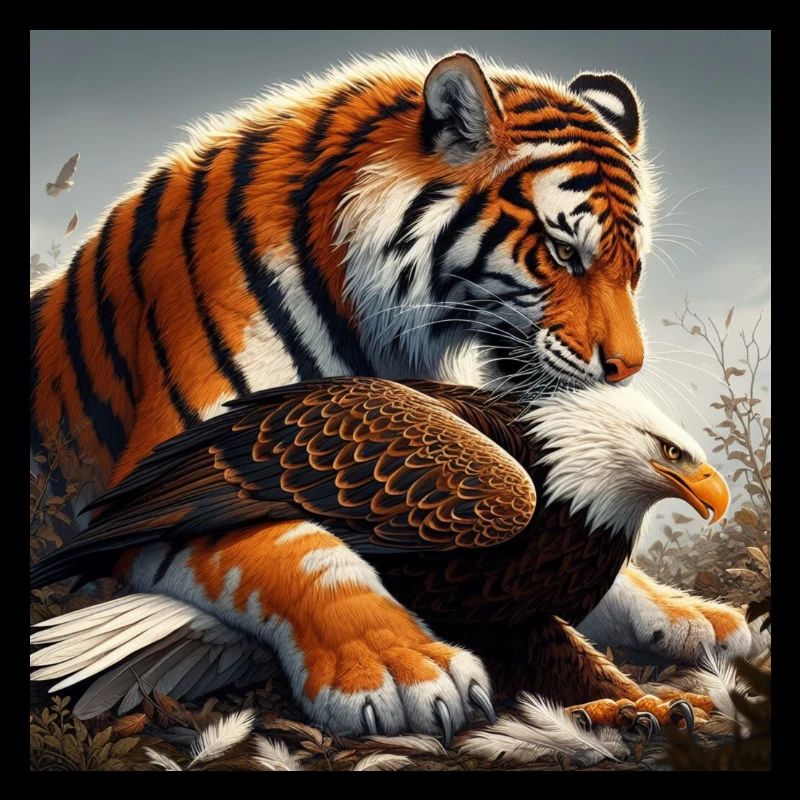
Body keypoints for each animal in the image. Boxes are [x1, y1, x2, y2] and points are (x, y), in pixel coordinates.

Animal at [29, 51, 751, 735]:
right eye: (565, 251)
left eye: (635, 267)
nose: (625, 368)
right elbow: (302, 553)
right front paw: (395, 664)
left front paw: (679, 626)